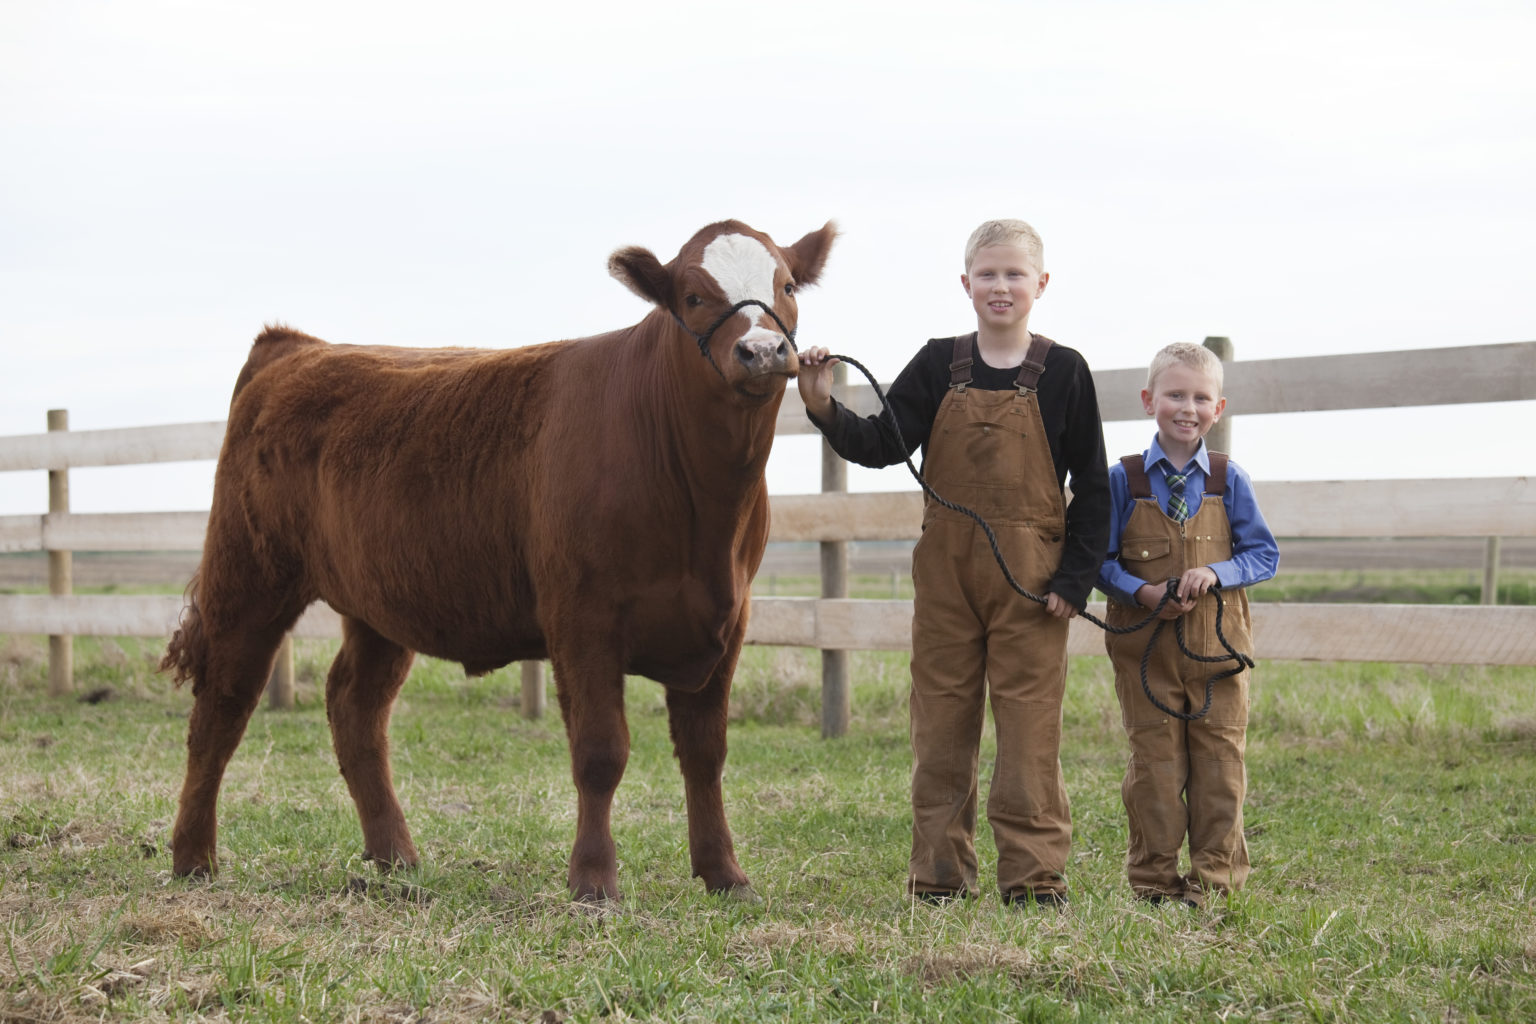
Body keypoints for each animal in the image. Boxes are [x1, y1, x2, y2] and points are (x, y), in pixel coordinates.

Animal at [165, 221, 841, 902]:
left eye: (786, 286)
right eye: (694, 296)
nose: (761, 351)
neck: (702, 505)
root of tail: (296, 346)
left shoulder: (727, 619)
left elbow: (706, 753)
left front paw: (725, 874)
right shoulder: (583, 617)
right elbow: (601, 752)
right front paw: (594, 880)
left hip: (381, 604)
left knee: (355, 705)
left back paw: (394, 855)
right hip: (249, 575)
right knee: (222, 705)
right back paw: (193, 856)